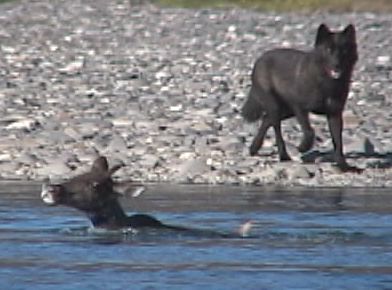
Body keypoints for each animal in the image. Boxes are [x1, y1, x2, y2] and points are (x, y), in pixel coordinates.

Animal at [242, 24, 358, 172]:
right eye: (328, 50)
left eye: (344, 51)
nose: (336, 65)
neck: (326, 83)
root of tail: (260, 59)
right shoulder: (299, 107)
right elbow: (309, 131)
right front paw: (303, 147)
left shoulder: (335, 115)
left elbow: (338, 142)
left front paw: (343, 166)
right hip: (276, 107)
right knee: (276, 129)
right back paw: (283, 156)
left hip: (286, 111)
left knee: (266, 119)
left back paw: (254, 147)